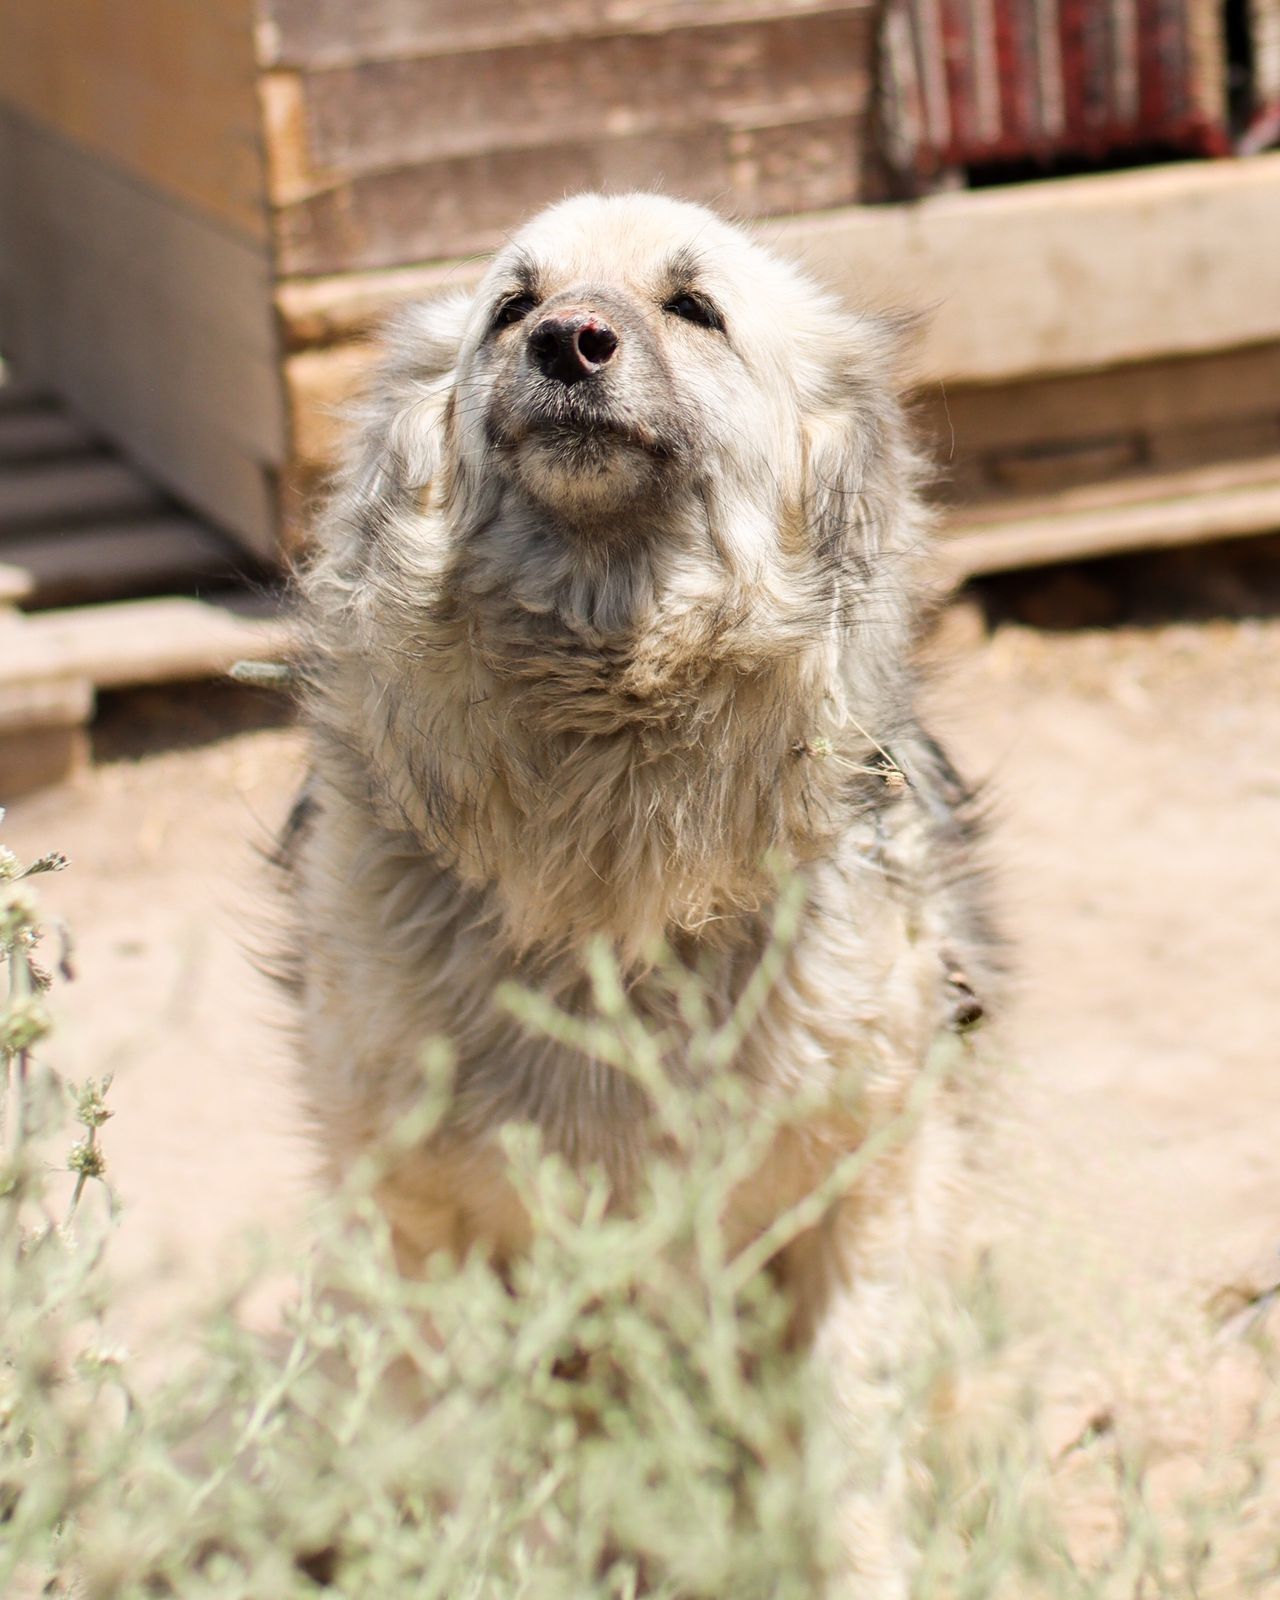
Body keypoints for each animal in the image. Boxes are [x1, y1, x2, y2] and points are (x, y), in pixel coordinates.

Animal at [284, 187, 992, 1587]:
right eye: (511, 304)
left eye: (693, 307)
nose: (566, 342)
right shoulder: (433, 1235)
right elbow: (500, 1502)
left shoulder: (859, 1200)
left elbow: (845, 1470)